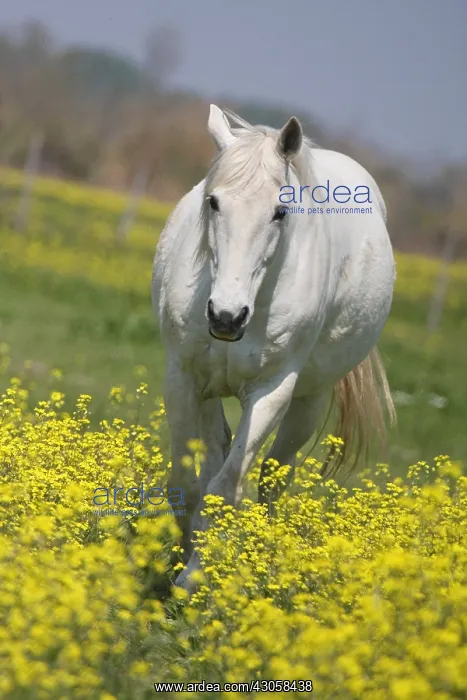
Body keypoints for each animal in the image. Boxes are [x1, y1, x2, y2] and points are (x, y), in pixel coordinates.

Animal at [152, 104, 396, 591]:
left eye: (281, 212)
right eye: (213, 202)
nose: (226, 317)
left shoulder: (271, 392)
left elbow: (226, 490)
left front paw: (192, 582)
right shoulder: (182, 377)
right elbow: (188, 484)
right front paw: (180, 562)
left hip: (308, 401)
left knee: (273, 478)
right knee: (217, 454)